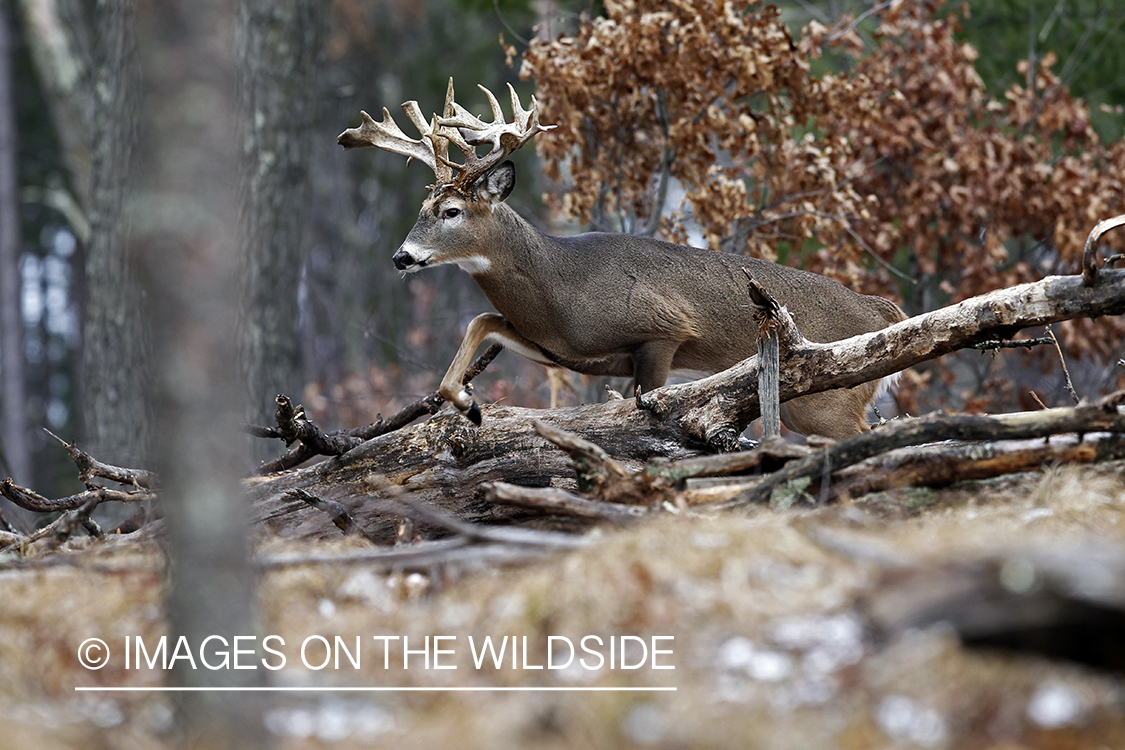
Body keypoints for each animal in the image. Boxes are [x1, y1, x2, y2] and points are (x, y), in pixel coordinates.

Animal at [337, 80, 909, 440]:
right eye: (421, 210)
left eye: (451, 211)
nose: (401, 257)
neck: (561, 286)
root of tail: (882, 309)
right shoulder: (562, 350)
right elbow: (481, 320)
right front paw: (469, 406)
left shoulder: (663, 332)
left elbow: (646, 409)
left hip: (823, 401)